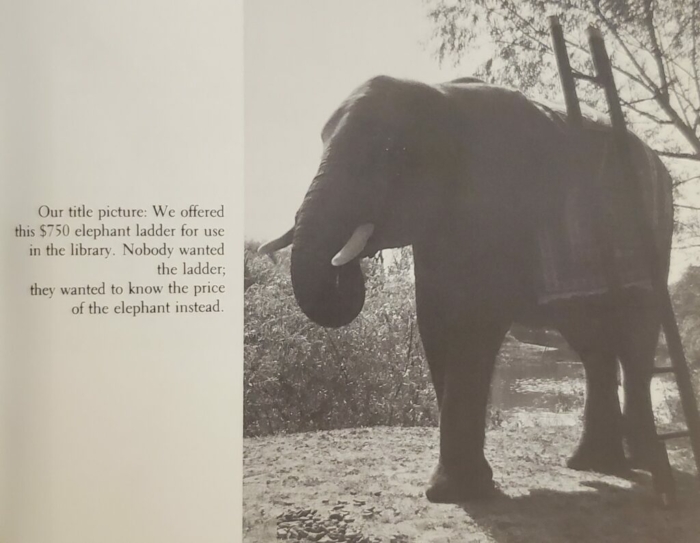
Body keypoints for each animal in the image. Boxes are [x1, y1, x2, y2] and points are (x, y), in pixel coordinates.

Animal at [260, 75, 676, 506]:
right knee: (592, 344)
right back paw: (593, 464)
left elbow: (473, 324)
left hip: (652, 240)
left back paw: (645, 464)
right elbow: (434, 322)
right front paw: (463, 489)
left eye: (392, 153)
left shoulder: (496, 206)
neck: (440, 97)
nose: (355, 262)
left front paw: (458, 493)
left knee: (635, 338)